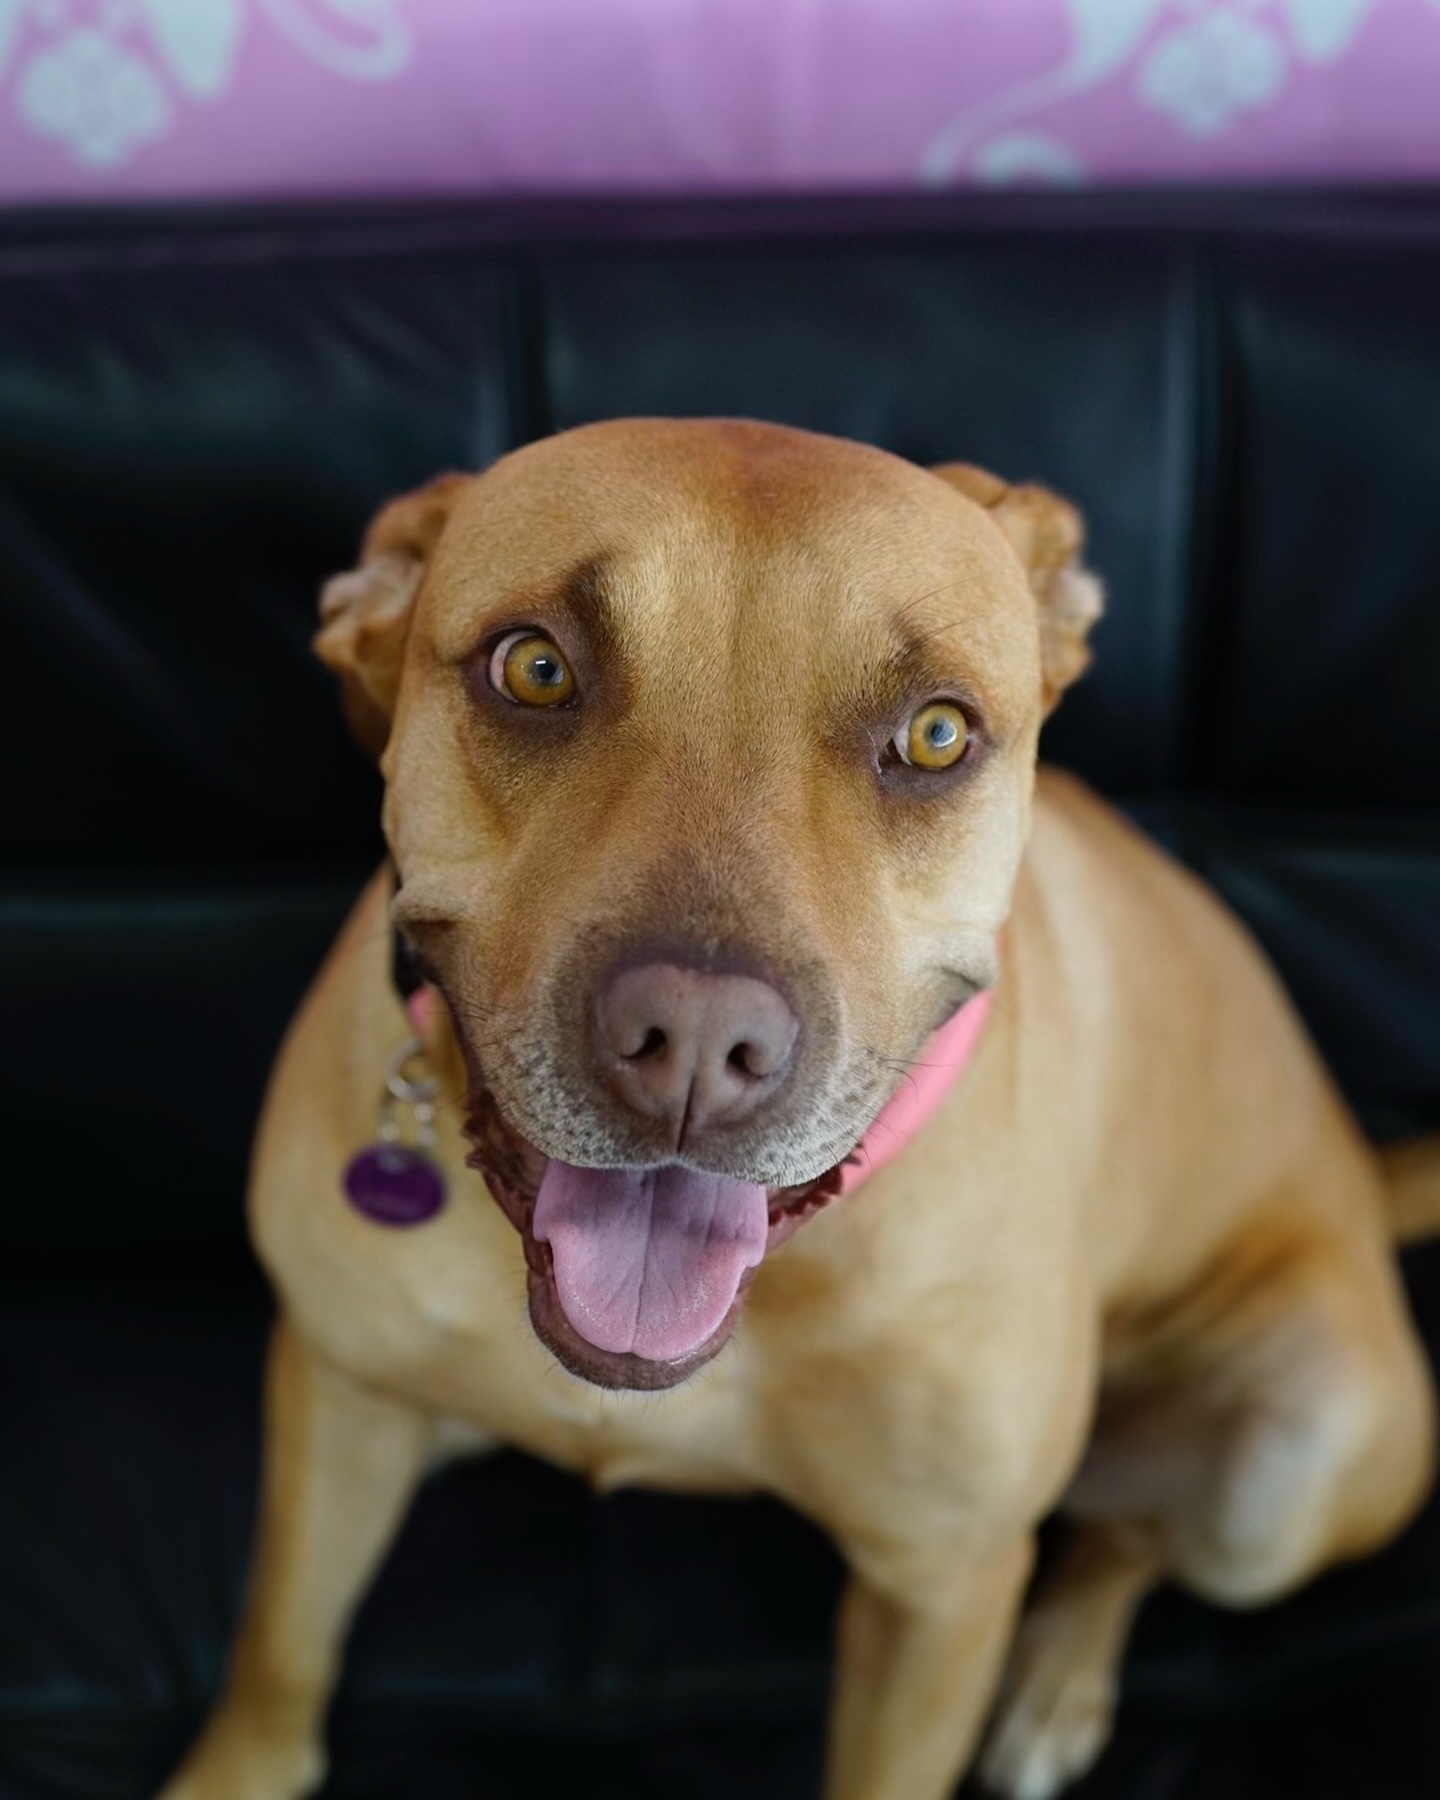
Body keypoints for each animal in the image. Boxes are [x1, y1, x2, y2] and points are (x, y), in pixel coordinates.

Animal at [157, 417, 1440, 1800]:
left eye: (936, 736)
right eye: (536, 668)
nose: (694, 1043)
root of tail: (1354, 1172)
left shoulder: (943, 1590)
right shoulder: (340, 1391)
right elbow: (279, 1646)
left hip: (1295, 1468)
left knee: (1135, 1539)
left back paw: (1056, 1681)